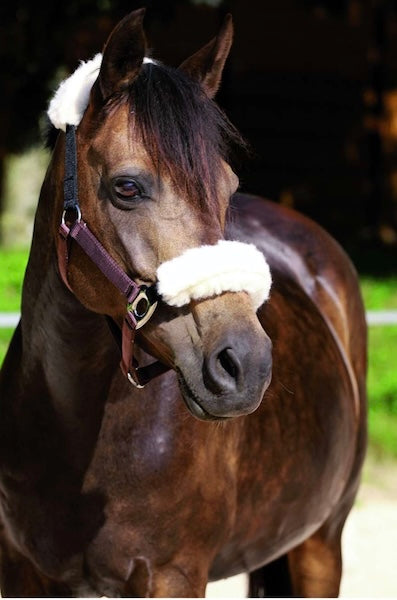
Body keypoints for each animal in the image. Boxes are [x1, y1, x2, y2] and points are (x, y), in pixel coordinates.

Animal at [0, 9, 366, 600]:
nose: (246, 366)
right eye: (127, 187)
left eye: (229, 185)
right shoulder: (22, 570)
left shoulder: (174, 575)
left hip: (320, 545)